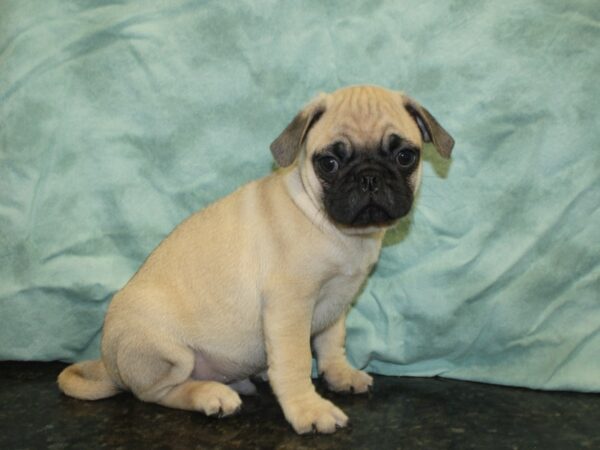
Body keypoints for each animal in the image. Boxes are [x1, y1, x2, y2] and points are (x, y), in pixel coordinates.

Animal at [58, 84, 452, 432]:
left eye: (405, 156)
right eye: (329, 163)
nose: (369, 177)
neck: (334, 227)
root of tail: (109, 364)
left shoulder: (336, 305)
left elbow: (330, 344)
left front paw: (339, 375)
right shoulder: (290, 306)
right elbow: (295, 361)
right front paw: (308, 409)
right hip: (167, 351)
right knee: (156, 393)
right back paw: (211, 394)